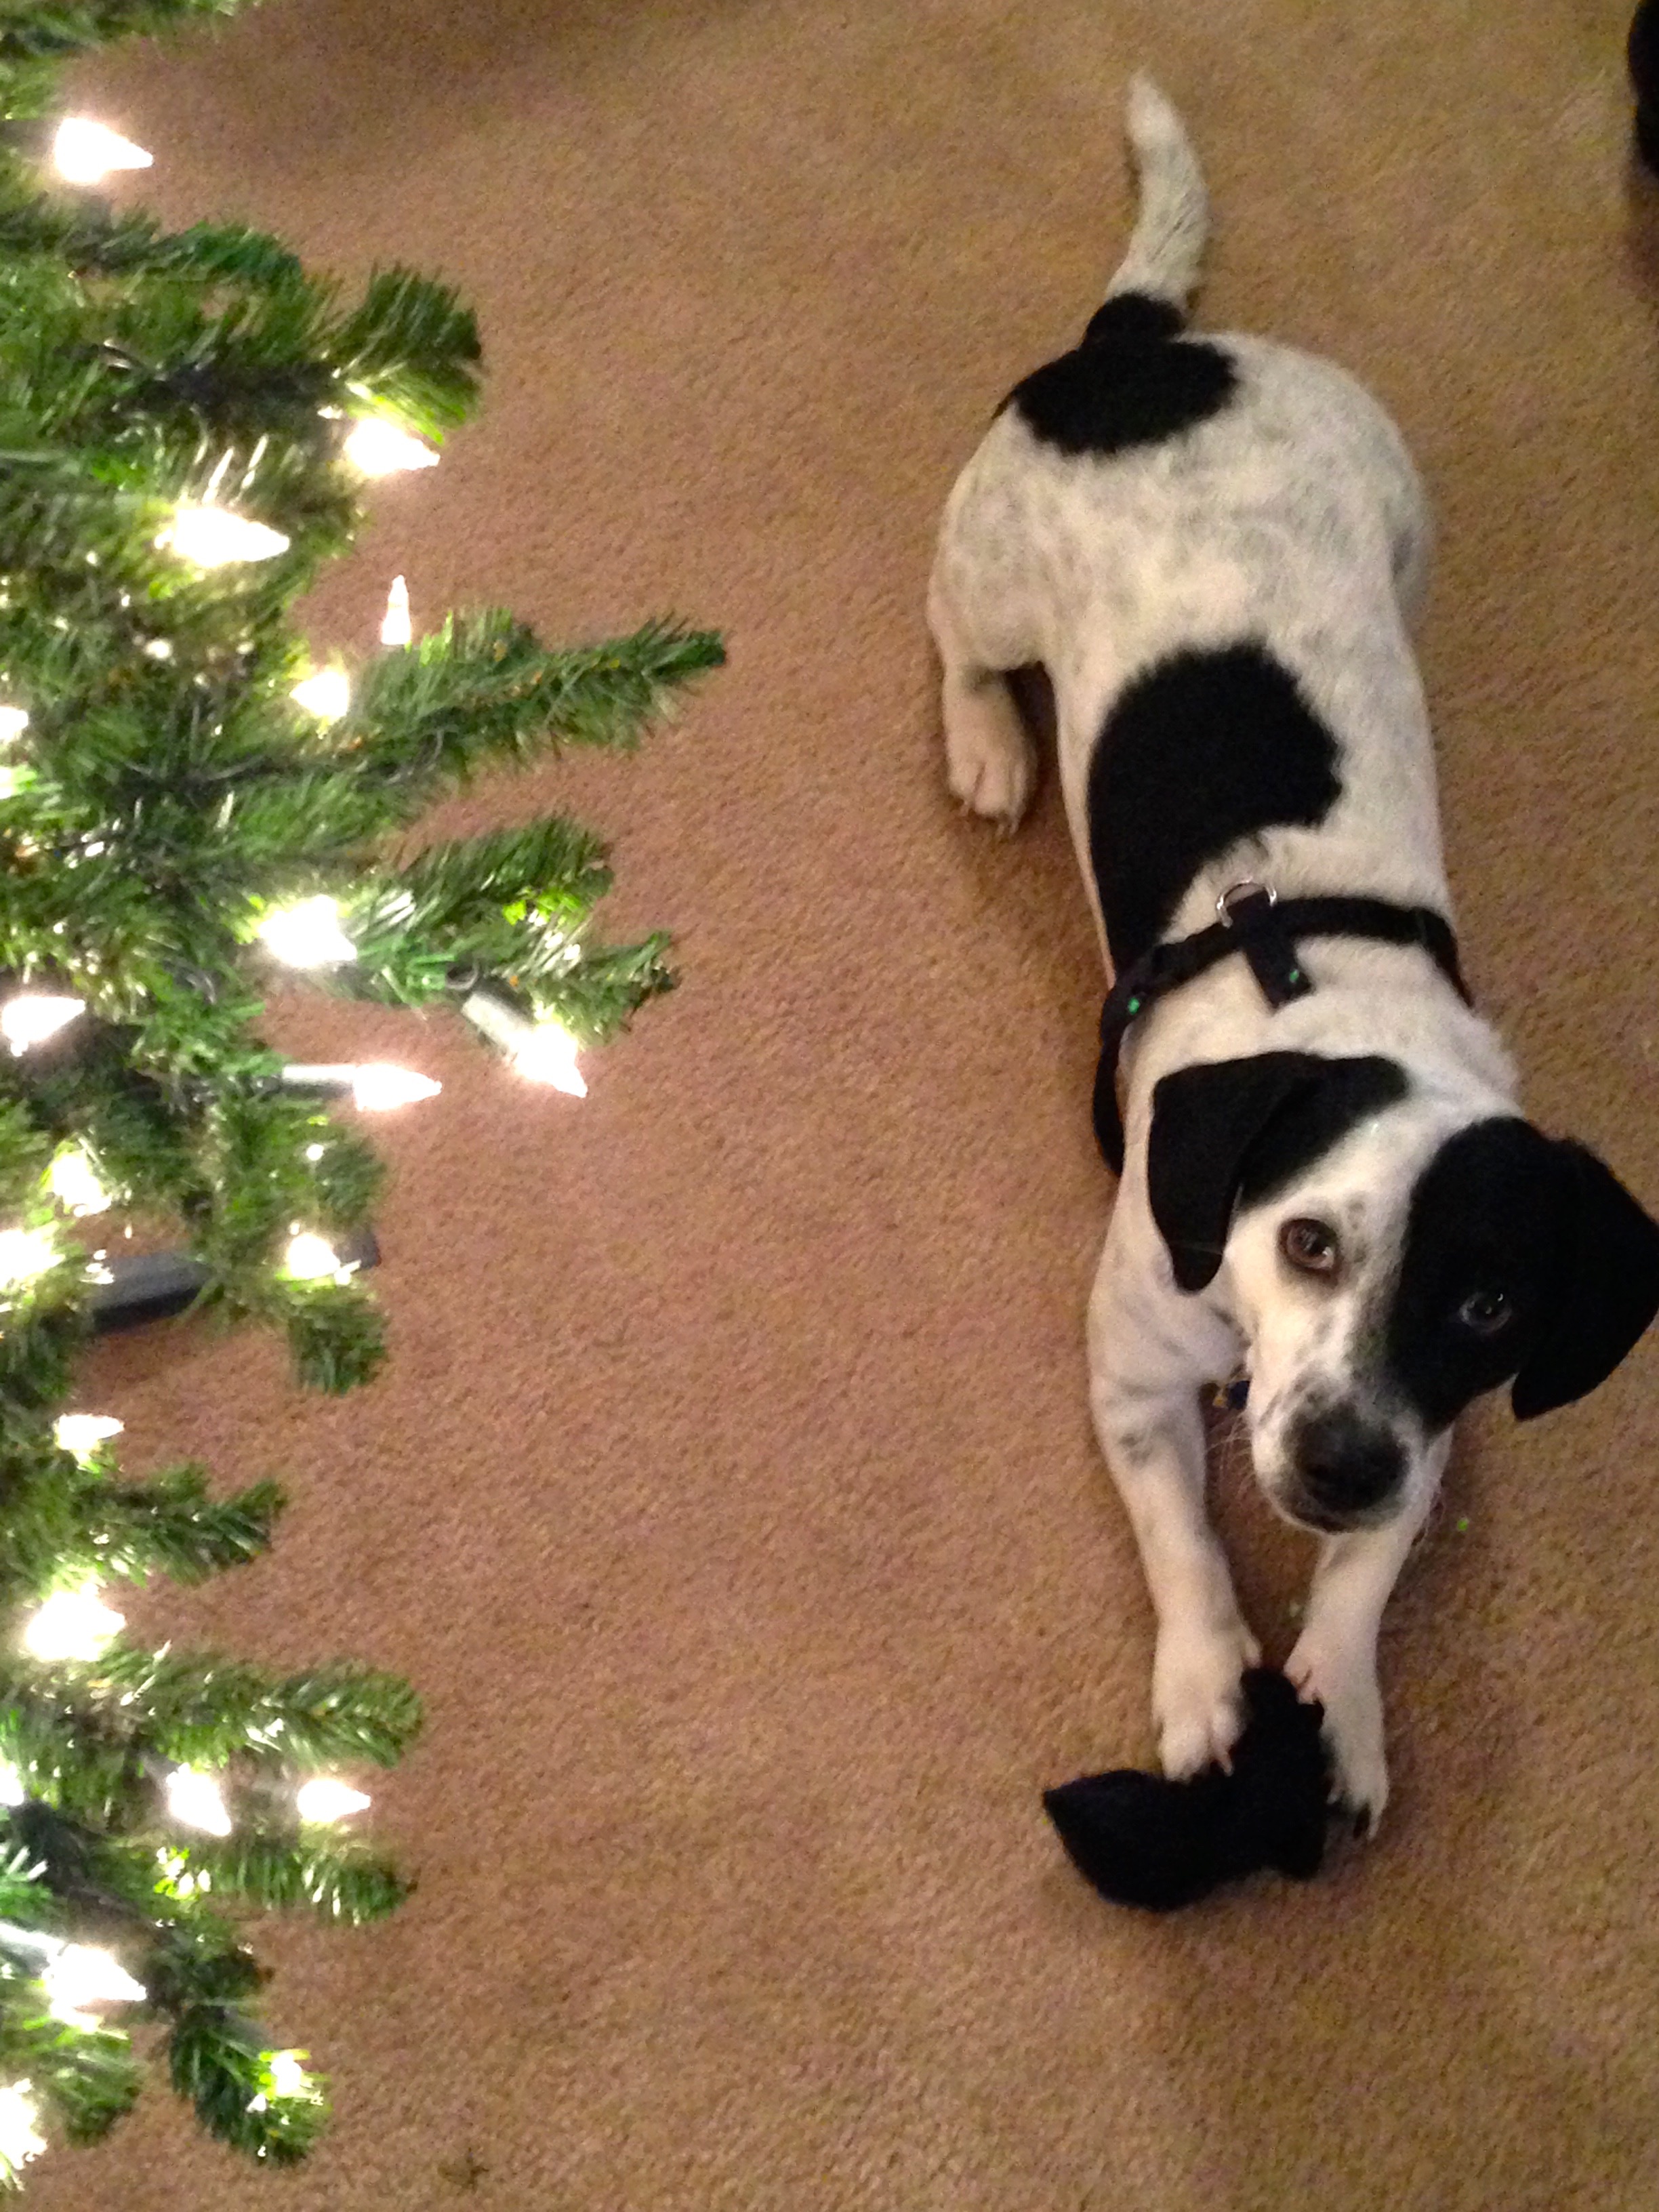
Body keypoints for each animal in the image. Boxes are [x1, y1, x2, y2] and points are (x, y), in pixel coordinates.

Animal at [928, 73, 1659, 1831]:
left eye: (1487, 1306)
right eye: (1309, 1242)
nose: (1333, 1466)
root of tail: (1150, 350)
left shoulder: (1430, 1432)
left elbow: (1365, 1579)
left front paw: (1341, 1690)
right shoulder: (1130, 1382)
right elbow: (1184, 1541)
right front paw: (1208, 1681)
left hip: (1403, 531)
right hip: (984, 580)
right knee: (953, 650)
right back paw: (985, 742)